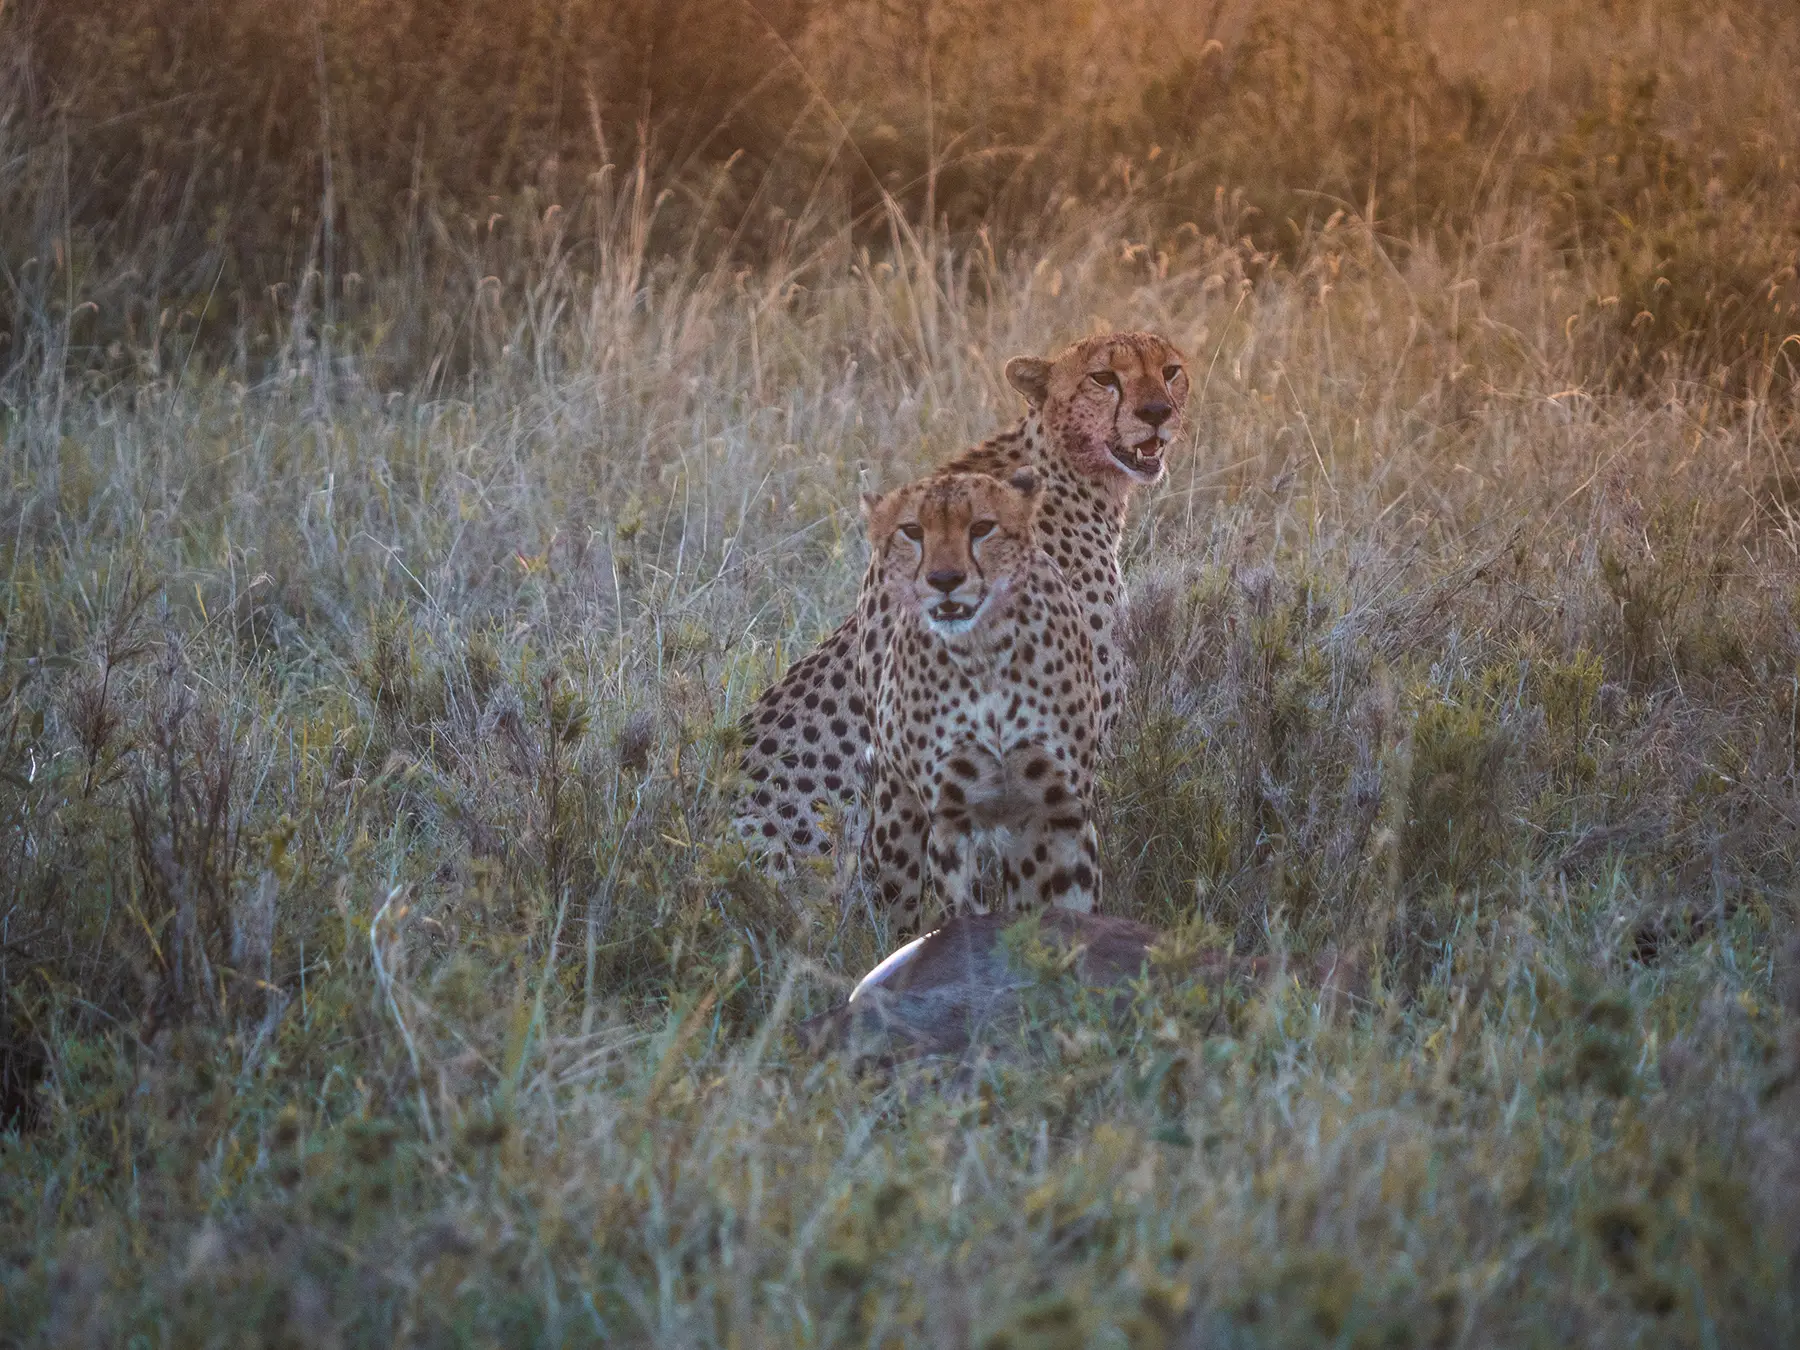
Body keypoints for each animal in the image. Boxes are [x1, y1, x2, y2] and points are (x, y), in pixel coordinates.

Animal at [853, 468, 1094, 928]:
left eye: (982, 527)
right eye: (913, 531)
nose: (945, 581)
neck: (983, 651)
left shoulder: (1063, 810)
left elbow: (1073, 910)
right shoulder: (951, 819)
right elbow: (962, 913)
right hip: (896, 820)